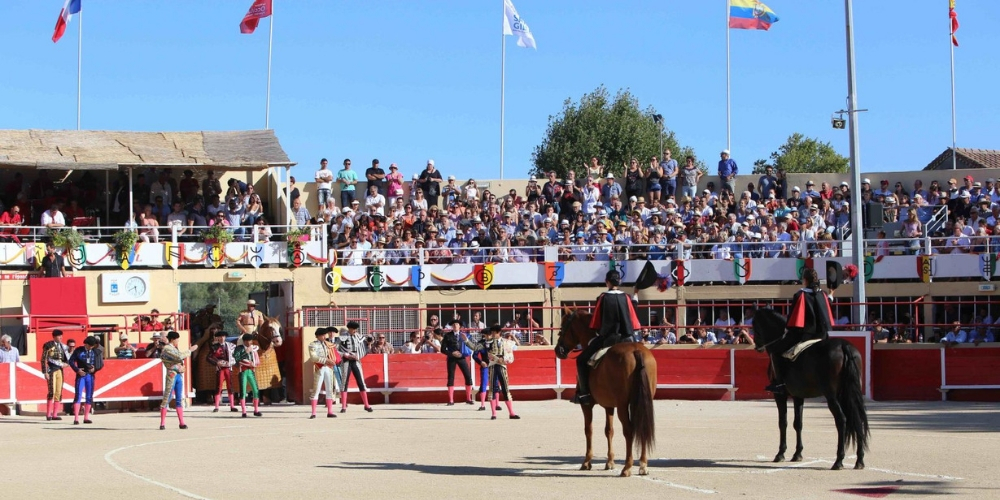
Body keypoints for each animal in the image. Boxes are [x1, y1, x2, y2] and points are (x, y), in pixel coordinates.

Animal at [556, 308, 656, 476]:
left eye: (563, 327)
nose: (558, 350)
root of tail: (636, 351)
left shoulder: (587, 405)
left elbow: (588, 430)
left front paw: (587, 462)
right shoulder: (609, 405)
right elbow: (609, 430)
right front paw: (610, 462)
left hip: (623, 405)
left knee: (629, 430)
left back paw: (627, 467)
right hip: (641, 401)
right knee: (641, 426)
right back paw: (643, 464)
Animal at [756, 308, 868, 468]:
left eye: (754, 324)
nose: (756, 345)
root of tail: (844, 346)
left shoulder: (780, 395)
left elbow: (783, 422)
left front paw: (780, 453)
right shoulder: (798, 395)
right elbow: (798, 423)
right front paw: (797, 454)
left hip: (832, 396)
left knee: (842, 420)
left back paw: (838, 461)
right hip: (849, 394)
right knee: (857, 418)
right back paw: (859, 460)